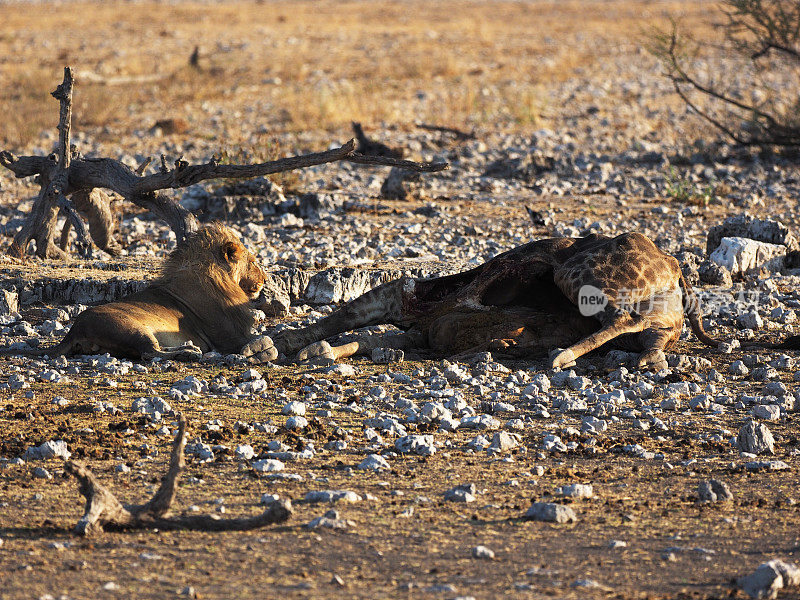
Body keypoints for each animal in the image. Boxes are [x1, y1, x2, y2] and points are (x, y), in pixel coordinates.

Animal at [2, 221, 284, 358]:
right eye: (254, 261)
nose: (265, 278)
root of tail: (74, 330)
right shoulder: (228, 337)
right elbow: (265, 339)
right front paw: (265, 347)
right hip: (132, 327)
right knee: (150, 353)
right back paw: (189, 352)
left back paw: (188, 349)